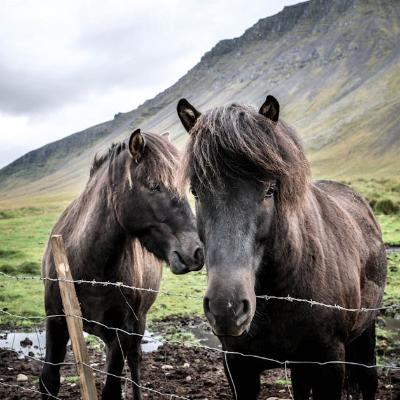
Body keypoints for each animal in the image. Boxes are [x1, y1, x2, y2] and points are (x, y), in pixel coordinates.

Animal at [39, 129, 204, 400]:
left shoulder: (122, 331)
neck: (91, 269)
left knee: (134, 363)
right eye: (154, 185)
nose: (197, 252)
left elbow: (112, 389)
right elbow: (49, 381)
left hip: (137, 326)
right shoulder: (56, 321)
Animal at [177, 96, 387, 400]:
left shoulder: (330, 364)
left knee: (369, 380)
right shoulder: (238, 367)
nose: (226, 308)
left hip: (365, 333)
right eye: (196, 191)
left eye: (269, 190)